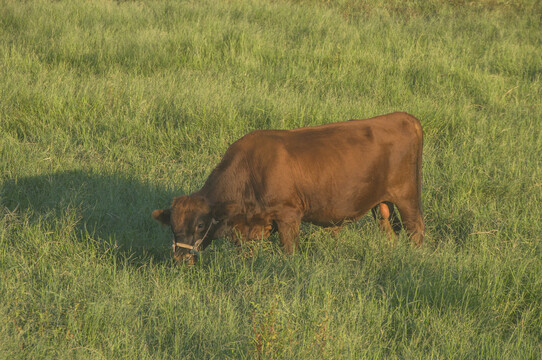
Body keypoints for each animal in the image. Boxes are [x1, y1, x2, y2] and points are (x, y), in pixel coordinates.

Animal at [152, 112, 424, 264]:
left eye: (200, 224)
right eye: (173, 226)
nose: (180, 259)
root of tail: (403, 117)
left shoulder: (288, 215)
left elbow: (289, 250)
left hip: (407, 198)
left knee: (415, 230)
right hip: (381, 203)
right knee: (388, 230)